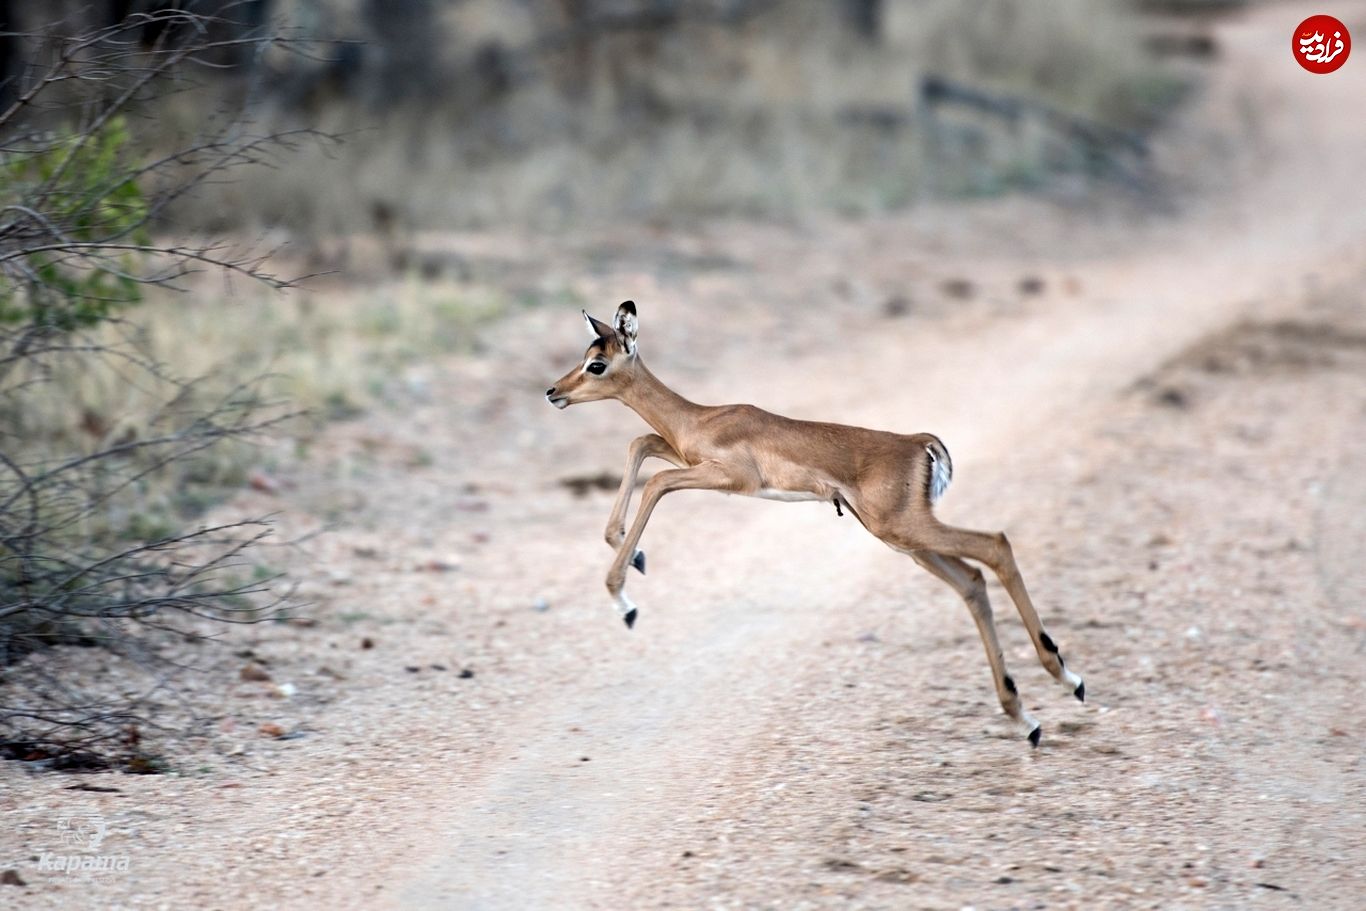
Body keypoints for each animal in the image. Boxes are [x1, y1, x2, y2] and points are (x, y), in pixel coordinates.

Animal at [540, 303, 1076, 743]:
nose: (552, 392)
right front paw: (634, 554)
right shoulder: (685, 457)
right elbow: (641, 444)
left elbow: (655, 480)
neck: (701, 419)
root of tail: (918, 442)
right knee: (972, 581)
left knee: (995, 545)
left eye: (596, 363)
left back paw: (1065, 678)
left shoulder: (727, 478)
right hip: (903, 540)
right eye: (586, 354)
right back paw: (1029, 716)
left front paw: (624, 600)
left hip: (903, 529)